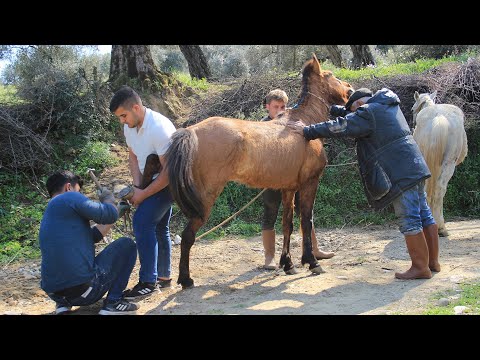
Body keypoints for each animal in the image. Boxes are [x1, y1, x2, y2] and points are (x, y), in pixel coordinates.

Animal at [165, 54, 352, 290]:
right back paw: (186, 279)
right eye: (330, 75)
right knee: (188, 236)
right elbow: (306, 221)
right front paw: (311, 262)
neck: (303, 123)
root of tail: (191, 131)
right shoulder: (309, 184)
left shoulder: (288, 188)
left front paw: (288, 264)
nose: (350, 88)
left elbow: (288, 224)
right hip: (205, 200)